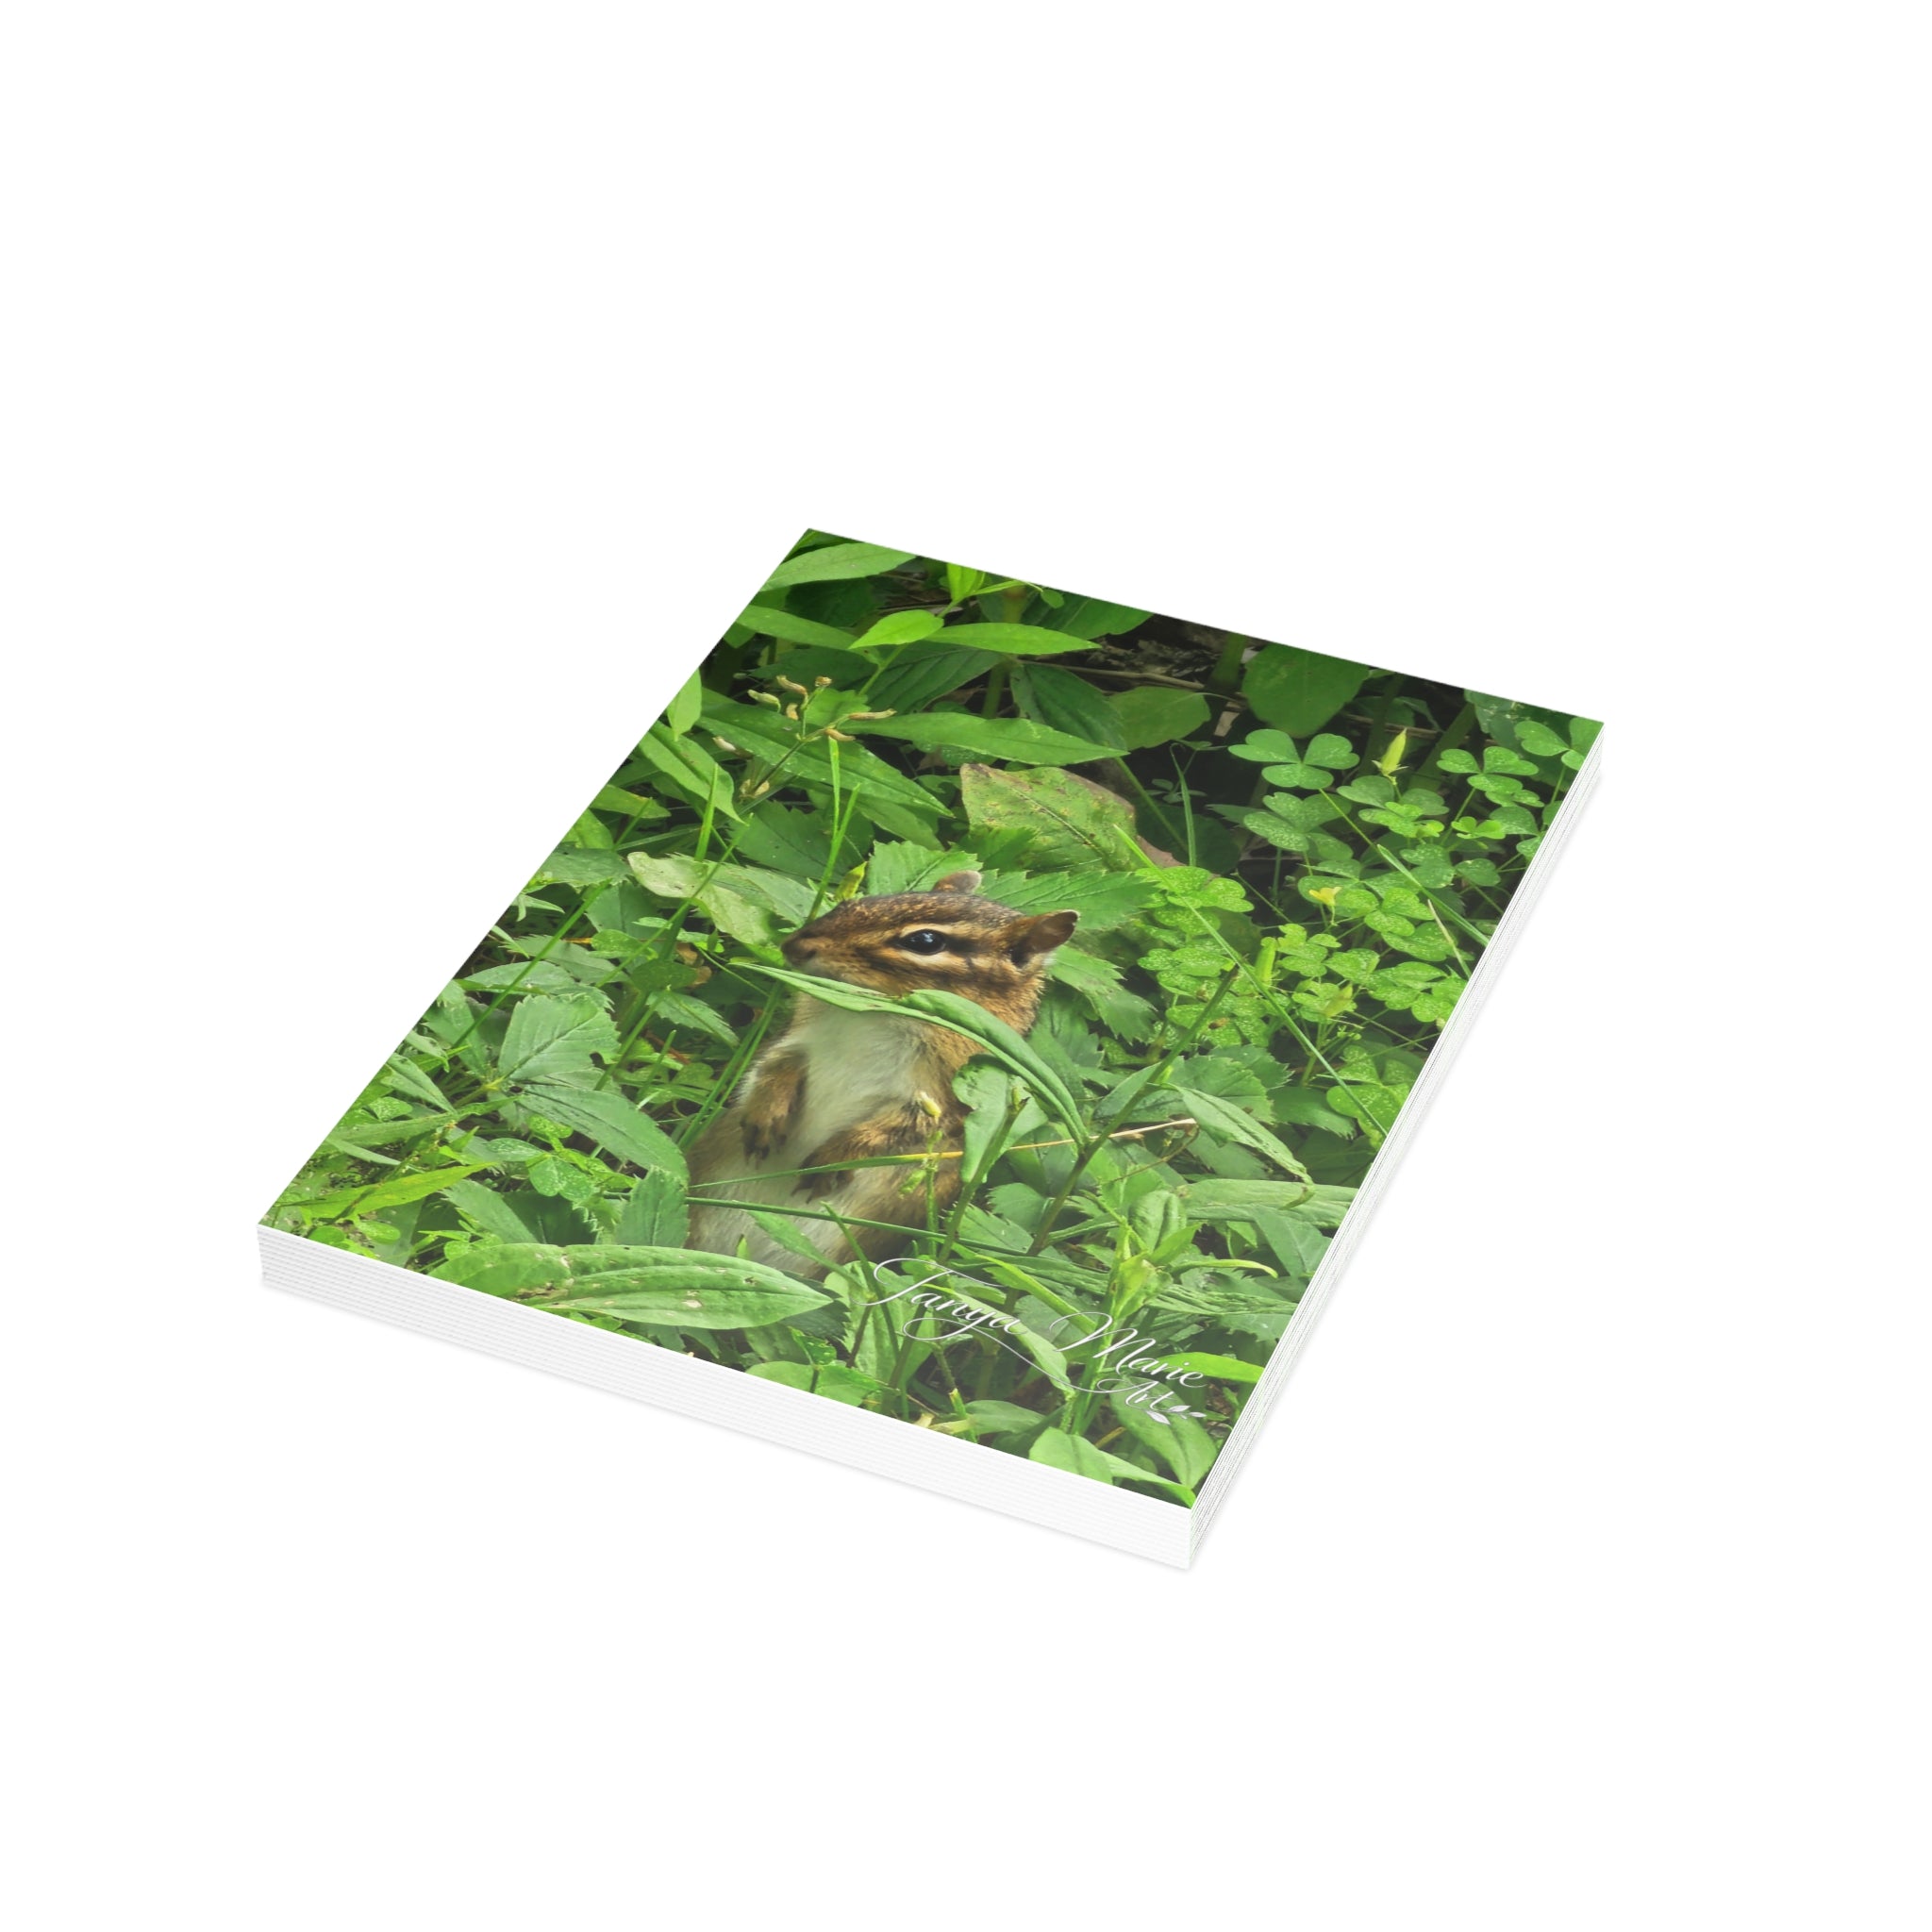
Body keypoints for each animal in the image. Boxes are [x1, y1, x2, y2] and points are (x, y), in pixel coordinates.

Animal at [686, 870, 1077, 1276]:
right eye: (854, 902)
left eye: (925, 941)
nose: (793, 945)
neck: (874, 1014)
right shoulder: (797, 1039)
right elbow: (773, 1065)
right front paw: (765, 1115)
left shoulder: (945, 1099)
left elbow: (905, 1129)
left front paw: (837, 1156)